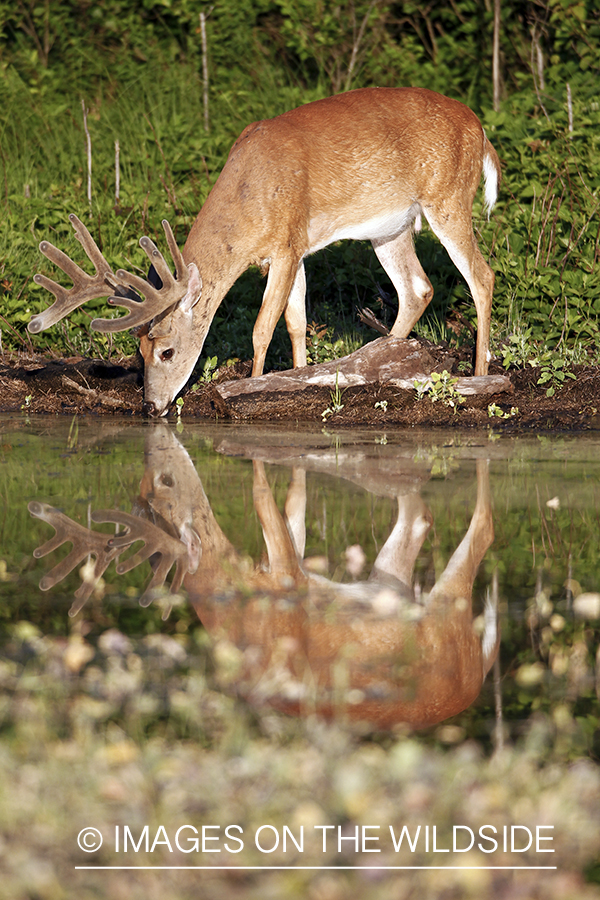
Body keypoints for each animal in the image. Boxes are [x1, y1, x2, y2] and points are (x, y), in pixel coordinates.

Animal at [27, 88, 502, 418]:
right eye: (138, 352)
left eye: (166, 351)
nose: (150, 407)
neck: (249, 195)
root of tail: (481, 131)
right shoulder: (294, 251)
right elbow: (296, 323)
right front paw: (300, 377)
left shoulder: (286, 243)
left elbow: (261, 328)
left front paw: (249, 389)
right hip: (390, 227)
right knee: (417, 288)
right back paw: (382, 359)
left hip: (448, 196)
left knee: (482, 276)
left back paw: (479, 374)